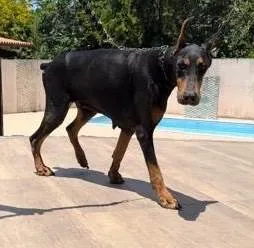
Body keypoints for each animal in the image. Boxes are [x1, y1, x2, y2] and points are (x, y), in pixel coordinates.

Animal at [29, 17, 216, 209]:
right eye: (181, 65)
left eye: (203, 67)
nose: (190, 97)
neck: (160, 68)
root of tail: (49, 64)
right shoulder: (144, 130)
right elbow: (155, 168)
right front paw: (166, 196)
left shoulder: (129, 127)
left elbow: (120, 151)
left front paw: (113, 174)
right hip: (57, 107)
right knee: (35, 138)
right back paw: (41, 168)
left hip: (88, 108)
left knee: (70, 128)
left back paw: (81, 158)